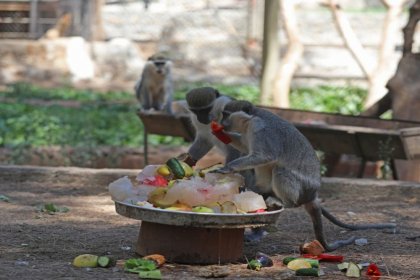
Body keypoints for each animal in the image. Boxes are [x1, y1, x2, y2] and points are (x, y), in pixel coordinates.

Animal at [217, 100, 398, 252]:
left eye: (226, 114)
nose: (221, 123)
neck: (250, 121)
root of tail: (312, 194)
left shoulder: (260, 130)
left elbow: (265, 156)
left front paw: (227, 167)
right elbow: (246, 148)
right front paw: (218, 134)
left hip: (303, 188)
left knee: (279, 170)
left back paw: (285, 202)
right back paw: (261, 192)